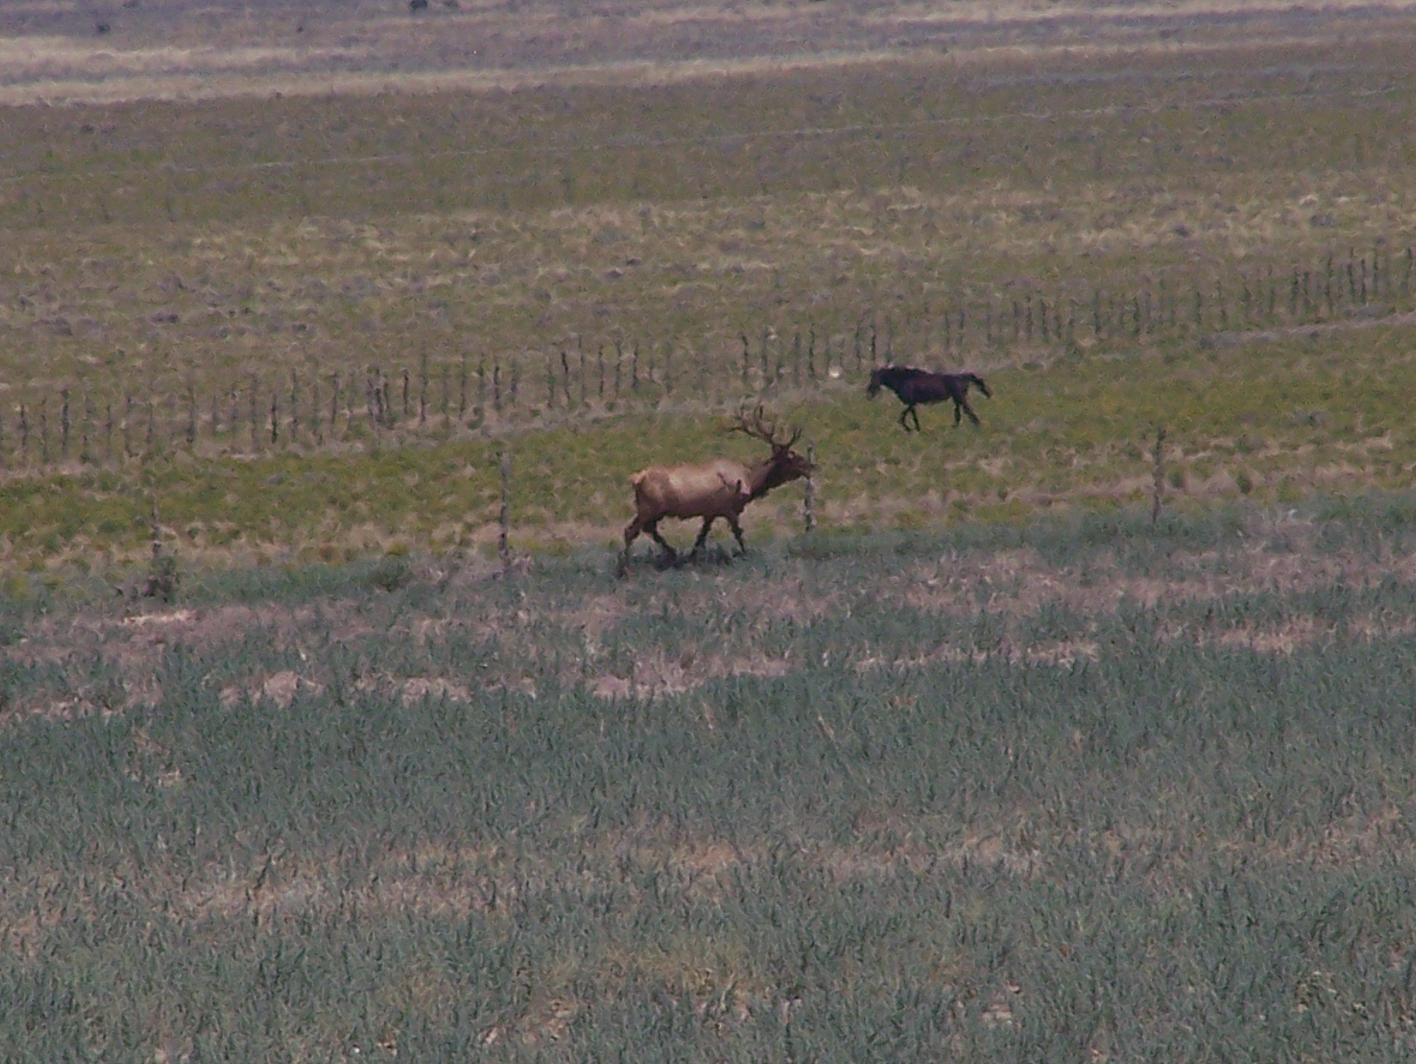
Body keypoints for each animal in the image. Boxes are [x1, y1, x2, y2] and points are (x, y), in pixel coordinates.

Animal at [623, 405, 821, 575]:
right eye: (792, 458)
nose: (812, 466)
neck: (751, 481)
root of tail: (636, 479)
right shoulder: (728, 509)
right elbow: (738, 534)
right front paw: (747, 556)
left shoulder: (710, 512)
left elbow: (701, 537)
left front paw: (691, 559)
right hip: (649, 508)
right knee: (630, 531)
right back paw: (625, 569)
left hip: (652, 510)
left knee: (648, 530)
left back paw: (671, 554)